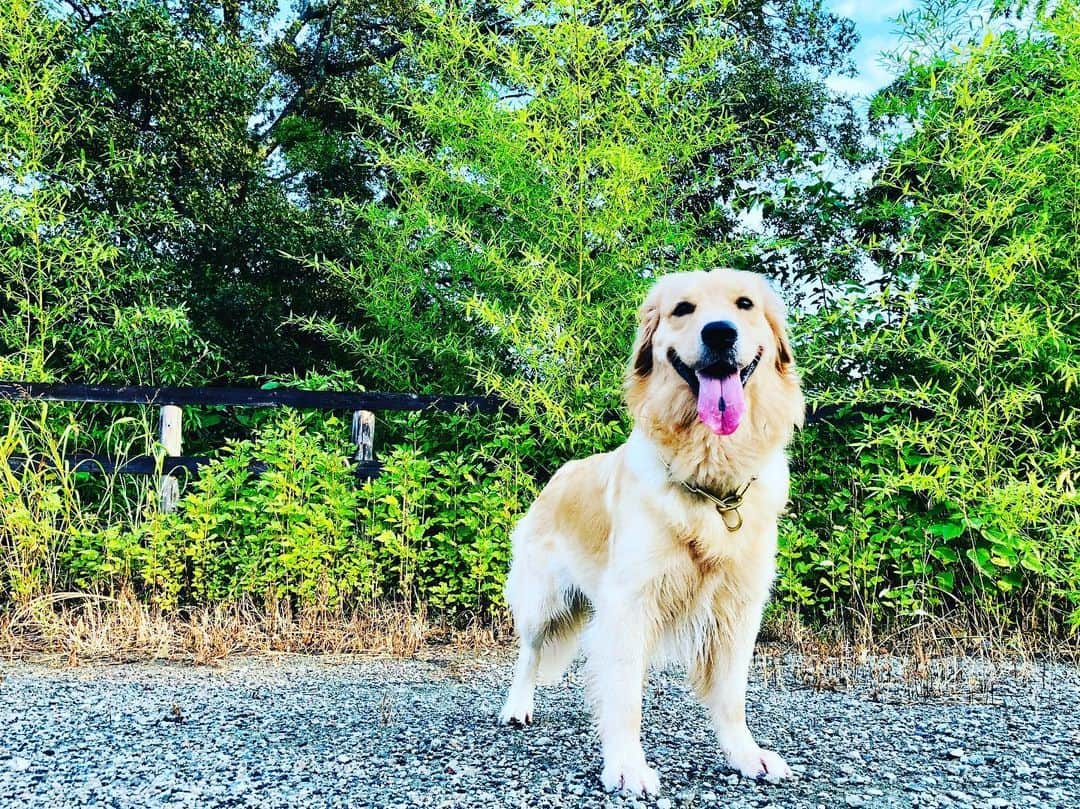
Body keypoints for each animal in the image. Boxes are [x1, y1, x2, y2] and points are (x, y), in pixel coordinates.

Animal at [496, 266, 803, 794]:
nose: (719, 333)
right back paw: (517, 707)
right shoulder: (629, 604)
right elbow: (624, 695)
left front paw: (746, 755)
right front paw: (626, 765)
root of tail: (560, 472)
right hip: (542, 599)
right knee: (529, 654)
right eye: (683, 309)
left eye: (744, 304)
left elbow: (731, 696)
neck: (711, 484)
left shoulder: (739, 608)